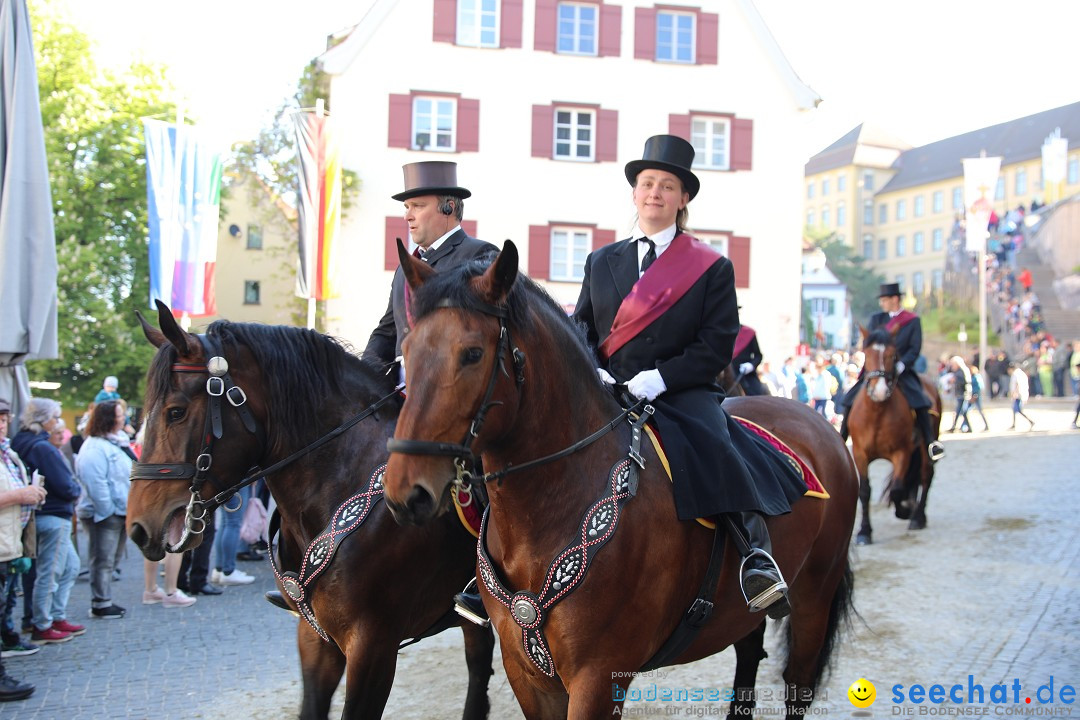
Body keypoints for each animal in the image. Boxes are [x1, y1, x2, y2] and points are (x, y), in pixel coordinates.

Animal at [384, 243, 855, 720]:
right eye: (407, 348)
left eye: (473, 353)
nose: (405, 493)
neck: (548, 509)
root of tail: (819, 423)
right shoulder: (526, 674)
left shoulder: (598, 675)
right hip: (742, 615)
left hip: (814, 596)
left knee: (798, 682)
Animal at [846, 323, 941, 544]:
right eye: (866, 353)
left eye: (892, 354)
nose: (879, 391)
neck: (877, 413)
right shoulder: (860, 454)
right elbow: (865, 491)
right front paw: (864, 532)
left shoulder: (902, 452)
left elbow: (897, 488)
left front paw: (904, 509)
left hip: (924, 445)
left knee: (926, 474)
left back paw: (918, 517)